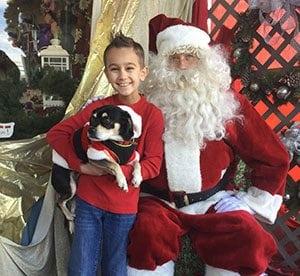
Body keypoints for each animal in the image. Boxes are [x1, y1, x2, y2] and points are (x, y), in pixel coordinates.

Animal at [50, 104, 143, 232]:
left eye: (107, 120)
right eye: (92, 119)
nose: (90, 130)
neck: (118, 142)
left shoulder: (131, 158)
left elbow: (138, 163)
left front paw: (137, 178)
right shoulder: (95, 156)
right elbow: (115, 164)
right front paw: (122, 181)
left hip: (75, 187)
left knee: (70, 203)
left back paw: (72, 224)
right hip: (70, 186)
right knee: (59, 202)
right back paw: (69, 216)